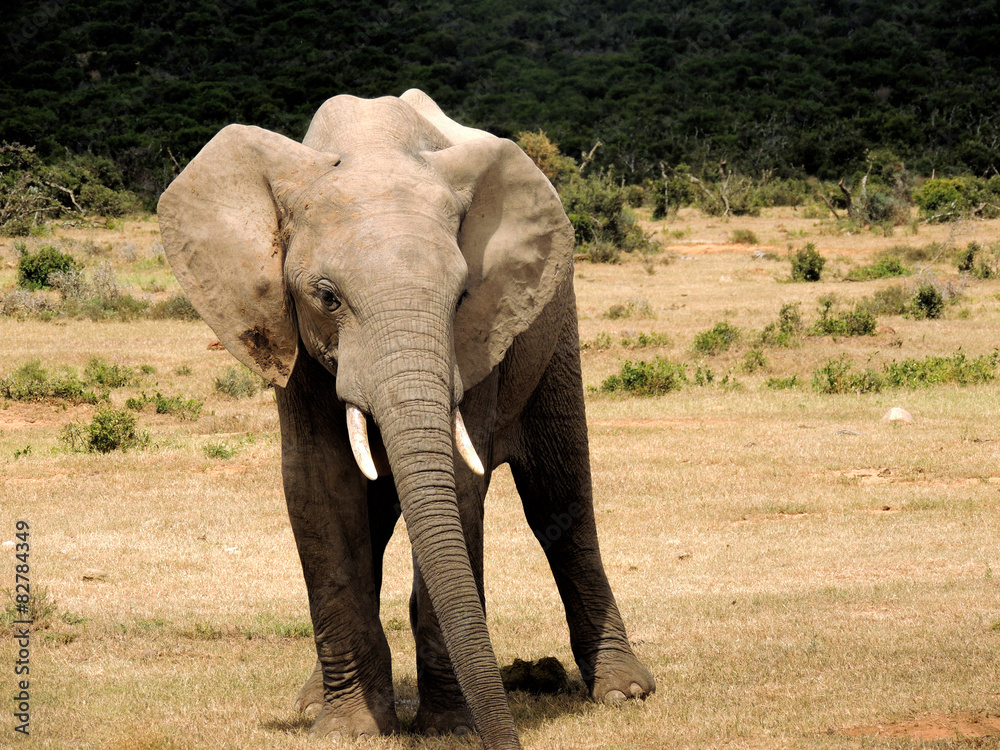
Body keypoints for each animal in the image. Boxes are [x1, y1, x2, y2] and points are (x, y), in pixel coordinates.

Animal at [157, 89, 654, 749]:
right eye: (326, 297)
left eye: (462, 295)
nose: (504, 740)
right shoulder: (290, 334)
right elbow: (318, 487)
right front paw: (347, 729)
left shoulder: (477, 338)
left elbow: (462, 488)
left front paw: (451, 728)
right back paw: (312, 701)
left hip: (556, 323)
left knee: (559, 496)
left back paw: (624, 691)